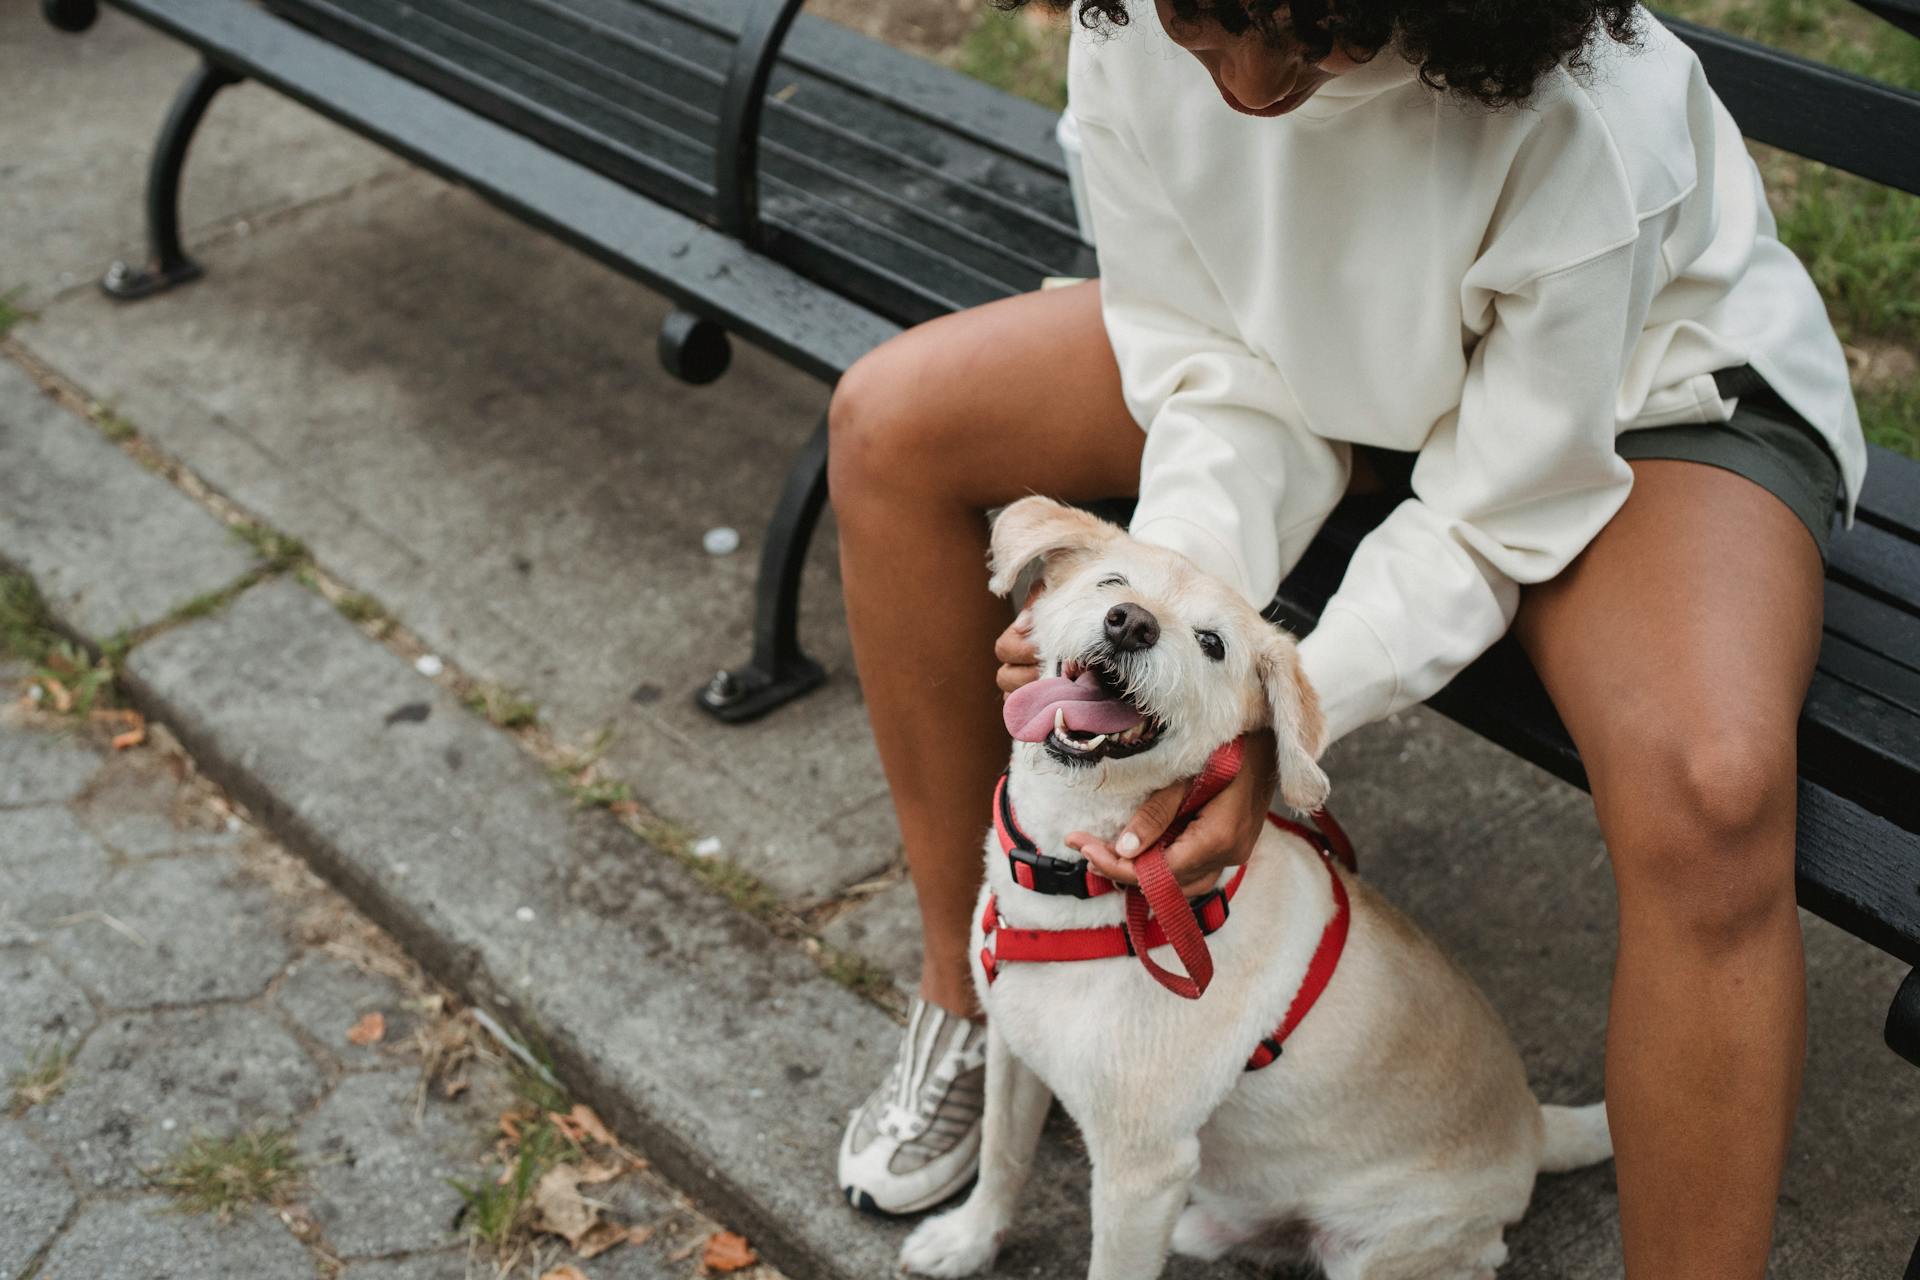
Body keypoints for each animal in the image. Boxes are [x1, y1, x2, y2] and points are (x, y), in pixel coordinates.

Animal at [898, 498, 1605, 1280]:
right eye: (1112, 582)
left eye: (1211, 643)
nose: (1130, 623)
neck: (1077, 883)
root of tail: (1534, 1128)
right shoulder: (1013, 1056)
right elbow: (1002, 1158)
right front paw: (967, 1241)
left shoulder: (1141, 1170)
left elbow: (1105, 1257)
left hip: (1384, 1253)